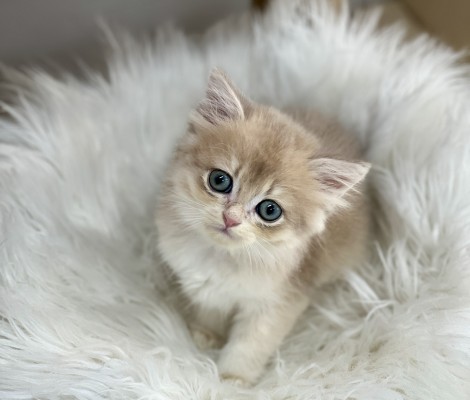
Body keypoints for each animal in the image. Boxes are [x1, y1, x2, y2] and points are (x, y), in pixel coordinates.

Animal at [155, 68, 371, 386]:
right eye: (220, 180)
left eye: (270, 210)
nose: (230, 218)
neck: (224, 259)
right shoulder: (204, 286)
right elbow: (210, 311)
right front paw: (208, 335)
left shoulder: (278, 304)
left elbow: (250, 345)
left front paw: (232, 380)